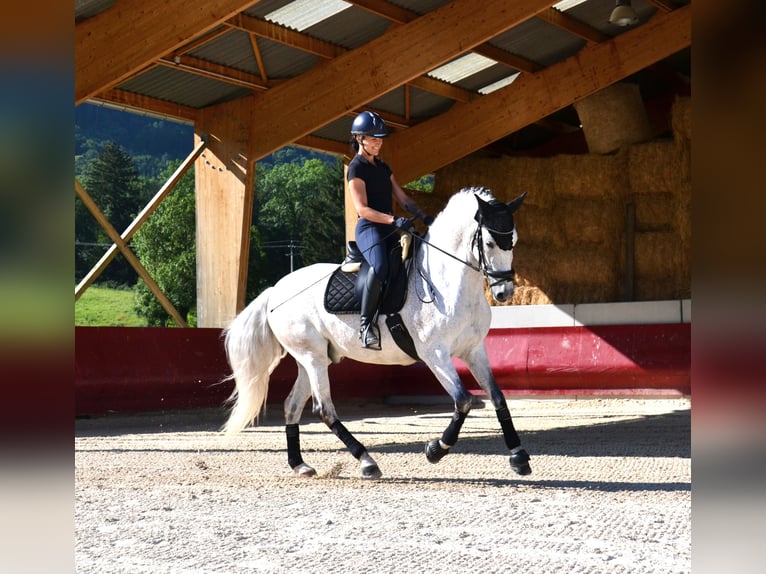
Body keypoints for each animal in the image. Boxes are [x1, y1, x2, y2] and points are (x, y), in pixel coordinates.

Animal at [222, 187, 536, 480]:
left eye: (514, 240)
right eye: (490, 242)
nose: (504, 292)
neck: (447, 284)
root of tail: (276, 290)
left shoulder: (474, 350)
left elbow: (497, 397)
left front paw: (519, 457)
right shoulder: (435, 354)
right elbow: (464, 400)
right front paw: (435, 449)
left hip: (309, 359)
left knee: (292, 406)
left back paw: (300, 464)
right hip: (312, 357)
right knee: (324, 409)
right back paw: (367, 461)